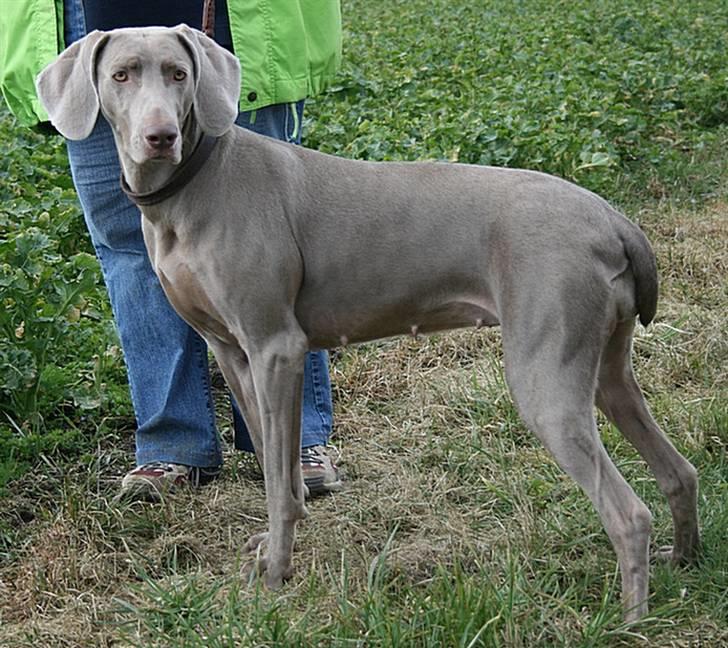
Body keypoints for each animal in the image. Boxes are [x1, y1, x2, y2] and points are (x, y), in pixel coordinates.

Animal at [35, 26, 700, 624]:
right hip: (606, 365)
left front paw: (275, 573)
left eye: (178, 74)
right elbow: (273, 466)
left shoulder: (277, 347)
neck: (190, 187)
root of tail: (613, 218)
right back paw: (686, 563)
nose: (160, 137)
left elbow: (277, 476)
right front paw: (273, 546)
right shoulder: (232, 352)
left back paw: (628, 621)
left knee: (628, 512)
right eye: (121, 75)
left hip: (545, 376)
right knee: (678, 470)